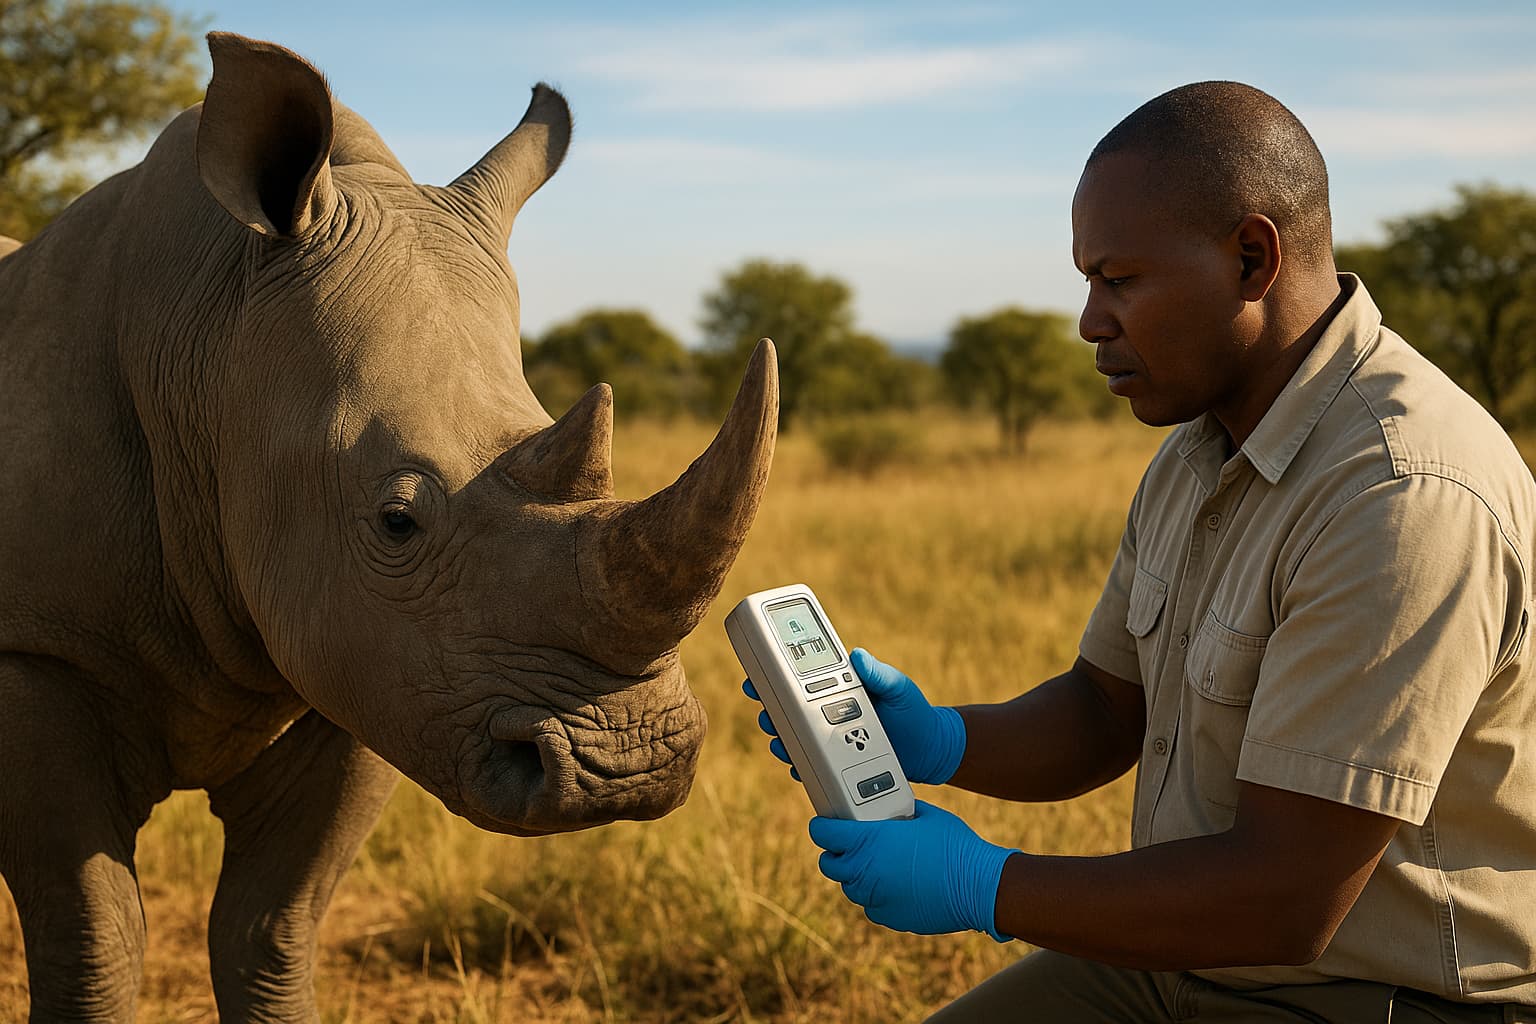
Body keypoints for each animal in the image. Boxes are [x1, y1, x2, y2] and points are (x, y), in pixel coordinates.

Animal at [0, 32, 777, 1021]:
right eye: (396, 520)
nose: (632, 764)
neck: (207, 342)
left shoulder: (372, 659)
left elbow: (271, 925)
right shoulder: (32, 648)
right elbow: (93, 939)